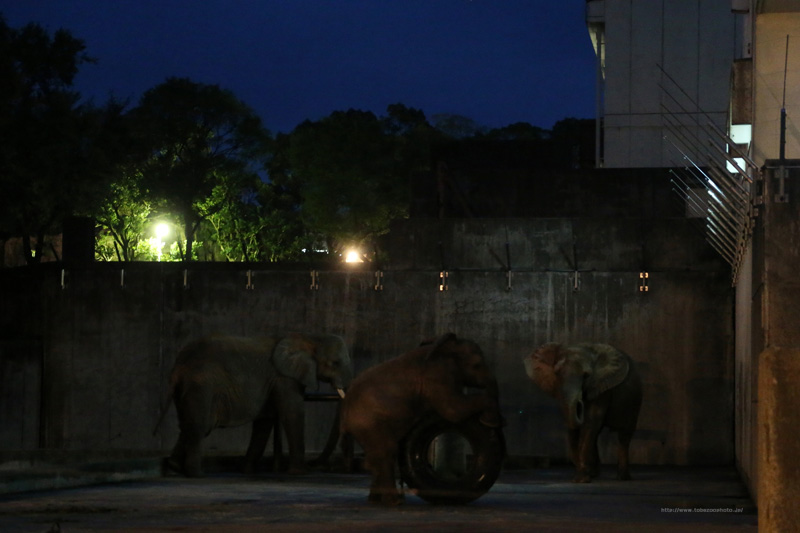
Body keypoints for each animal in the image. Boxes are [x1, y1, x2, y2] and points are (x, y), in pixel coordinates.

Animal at [158, 330, 352, 476]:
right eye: (335, 363)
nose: (315, 465)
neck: (308, 337)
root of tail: (178, 366)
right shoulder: (285, 378)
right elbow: (292, 414)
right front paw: (299, 472)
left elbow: (264, 422)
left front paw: (246, 471)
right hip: (201, 386)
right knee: (200, 426)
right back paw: (197, 474)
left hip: (186, 389)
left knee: (188, 424)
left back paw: (175, 467)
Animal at [340, 332, 504, 502]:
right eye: (477, 365)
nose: (498, 422)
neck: (446, 348)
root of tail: (344, 416)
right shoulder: (438, 376)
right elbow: (453, 410)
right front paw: (490, 421)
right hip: (370, 423)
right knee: (385, 452)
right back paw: (394, 502)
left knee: (377, 456)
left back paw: (377, 500)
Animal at [524, 340, 644, 482]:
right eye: (557, 373)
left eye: (586, 375)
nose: (580, 403)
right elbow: (578, 424)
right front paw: (584, 477)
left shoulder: (602, 387)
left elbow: (592, 420)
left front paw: (581, 480)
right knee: (597, 434)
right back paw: (595, 474)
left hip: (635, 401)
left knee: (624, 436)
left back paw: (622, 478)